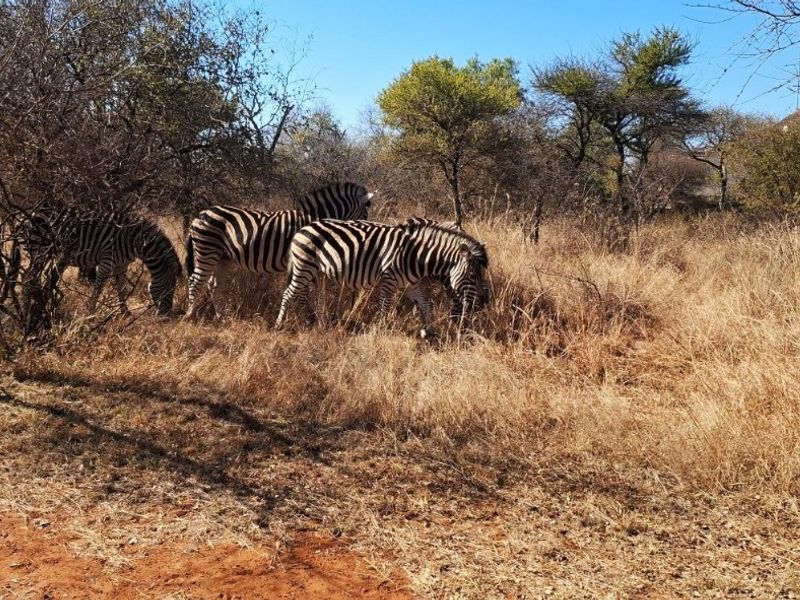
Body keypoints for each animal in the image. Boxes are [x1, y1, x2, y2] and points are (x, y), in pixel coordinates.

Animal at [24, 208, 181, 316]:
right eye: (169, 289)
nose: (166, 316)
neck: (134, 242)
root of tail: (37, 211)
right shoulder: (106, 262)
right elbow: (99, 288)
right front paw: (91, 312)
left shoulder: (121, 266)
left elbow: (121, 289)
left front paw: (125, 312)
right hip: (39, 248)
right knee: (30, 275)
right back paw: (32, 301)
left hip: (46, 252)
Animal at [184, 182, 373, 319]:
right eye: (365, 215)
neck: (312, 220)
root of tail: (199, 215)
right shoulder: (303, 261)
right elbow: (302, 293)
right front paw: (307, 317)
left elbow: (303, 291)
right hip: (207, 251)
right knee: (195, 280)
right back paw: (190, 315)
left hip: (223, 258)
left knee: (213, 285)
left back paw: (222, 316)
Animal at [274, 218, 489, 336]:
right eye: (472, 275)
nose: (479, 303)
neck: (416, 256)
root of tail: (302, 229)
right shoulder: (388, 280)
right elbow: (385, 308)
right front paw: (382, 330)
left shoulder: (411, 285)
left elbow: (425, 305)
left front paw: (428, 331)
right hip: (304, 266)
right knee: (288, 293)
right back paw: (279, 324)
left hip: (314, 270)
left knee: (303, 294)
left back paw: (312, 320)